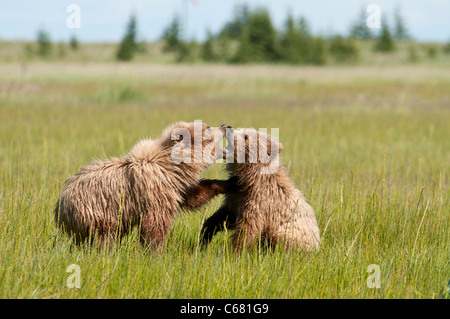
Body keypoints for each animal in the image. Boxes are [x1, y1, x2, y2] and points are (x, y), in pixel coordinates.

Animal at [53, 122, 232, 250]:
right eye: (208, 127)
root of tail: (60, 207)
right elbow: (155, 226)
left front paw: (229, 183)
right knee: (104, 238)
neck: (170, 167)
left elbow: (196, 195)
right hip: (96, 212)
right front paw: (156, 253)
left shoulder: (176, 186)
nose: (226, 126)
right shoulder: (154, 191)